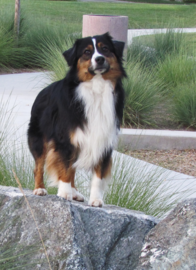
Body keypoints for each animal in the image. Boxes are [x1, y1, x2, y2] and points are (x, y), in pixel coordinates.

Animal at [27, 33, 125, 207]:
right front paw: (64, 194)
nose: (99, 59)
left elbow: (98, 176)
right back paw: (39, 189)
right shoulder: (65, 139)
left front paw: (96, 200)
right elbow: (64, 169)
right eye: (86, 52)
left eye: (105, 49)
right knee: (39, 165)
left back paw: (75, 193)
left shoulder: (104, 140)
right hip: (39, 138)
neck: (96, 86)